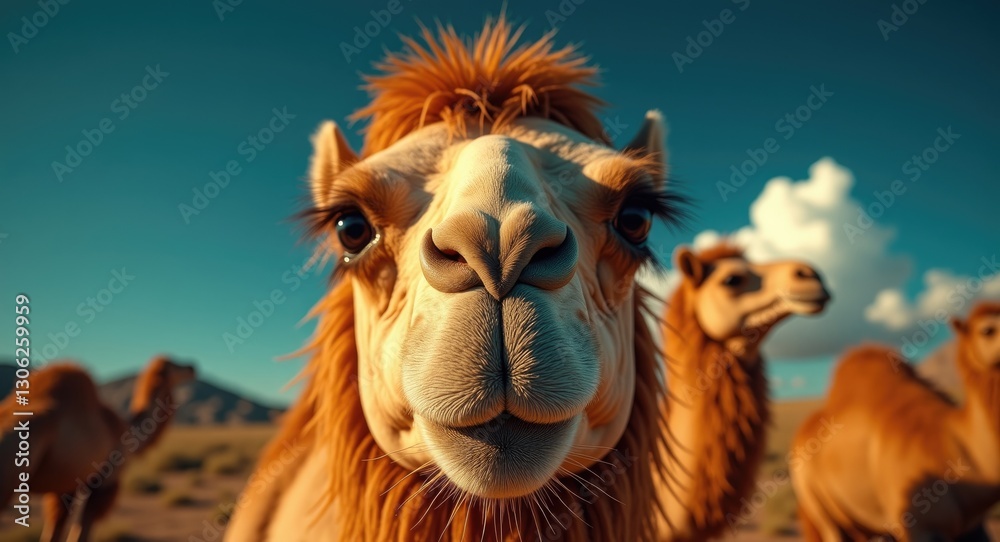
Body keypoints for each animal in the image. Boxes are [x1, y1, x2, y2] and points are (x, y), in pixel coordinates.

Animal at [0, 356, 195, 541]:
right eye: (175, 364)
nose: (192, 367)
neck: (127, 431)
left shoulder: (66, 486)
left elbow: (55, 530)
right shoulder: (104, 481)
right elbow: (81, 532)